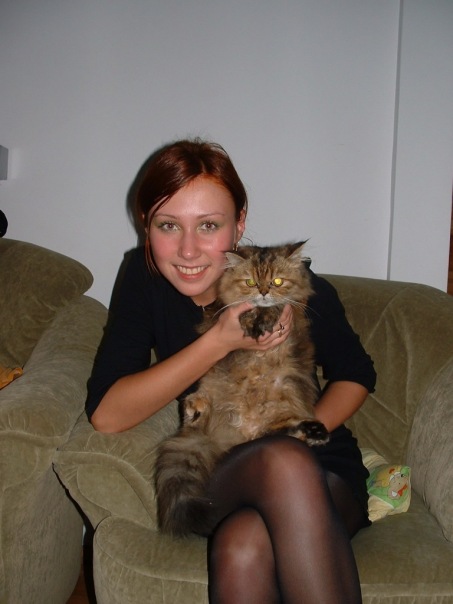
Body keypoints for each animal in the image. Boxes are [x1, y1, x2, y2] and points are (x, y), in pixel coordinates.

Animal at [154, 242, 329, 536]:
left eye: (277, 281)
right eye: (250, 282)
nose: (263, 292)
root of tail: (234, 432)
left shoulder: (292, 308)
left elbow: (279, 306)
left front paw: (265, 318)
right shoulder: (223, 311)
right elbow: (243, 309)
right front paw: (253, 320)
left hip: (286, 397)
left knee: (278, 432)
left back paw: (314, 432)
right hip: (211, 390)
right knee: (195, 418)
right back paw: (196, 408)